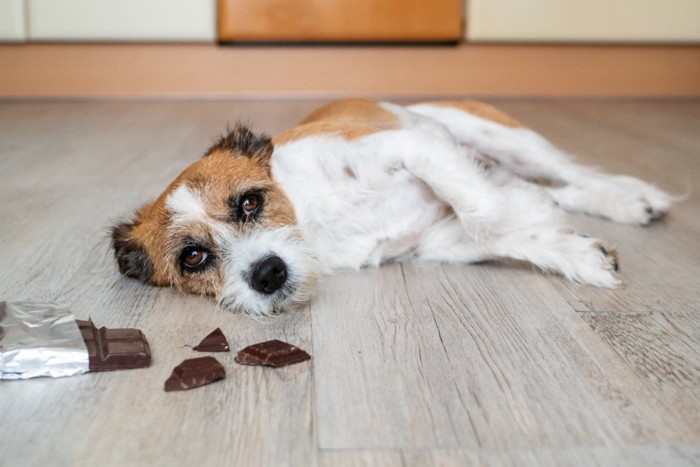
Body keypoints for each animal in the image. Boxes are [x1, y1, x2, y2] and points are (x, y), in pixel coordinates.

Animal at [112, 99, 676, 318]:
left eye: (250, 202)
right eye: (193, 258)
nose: (268, 273)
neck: (314, 218)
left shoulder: (414, 144)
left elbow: (484, 209)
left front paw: (533, 217)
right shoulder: (436, 240)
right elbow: (496, 228)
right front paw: (573, 251)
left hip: (502, 138)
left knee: (572, 174)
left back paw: (633, 197)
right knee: (559, 187)